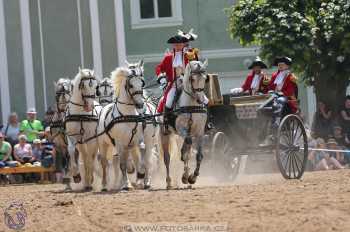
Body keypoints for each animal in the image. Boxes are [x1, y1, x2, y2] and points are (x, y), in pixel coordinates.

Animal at [98, 60, 154, 190]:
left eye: (142, 83)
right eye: (131, 85)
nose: (140, 104)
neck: (128, 115)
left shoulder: (139, 139)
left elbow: (142, 157)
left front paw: (142, 176)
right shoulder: (119, 143)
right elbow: (122, 165)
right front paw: (126, 184)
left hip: (130, 144)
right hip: (103, 144)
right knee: (104, 163)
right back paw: (104, 184)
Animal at [159, 59, 208, 188]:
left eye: (205, 78)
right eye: (192, 79)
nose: (200, 100)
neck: (191, 105)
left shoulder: (199, 132)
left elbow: (198, 155)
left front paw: (193, 177)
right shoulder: (182, 129)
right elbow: (187, 148)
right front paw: (187, 176)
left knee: (187, 149)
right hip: (165, 134)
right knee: (167, 157)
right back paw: (169, 182)